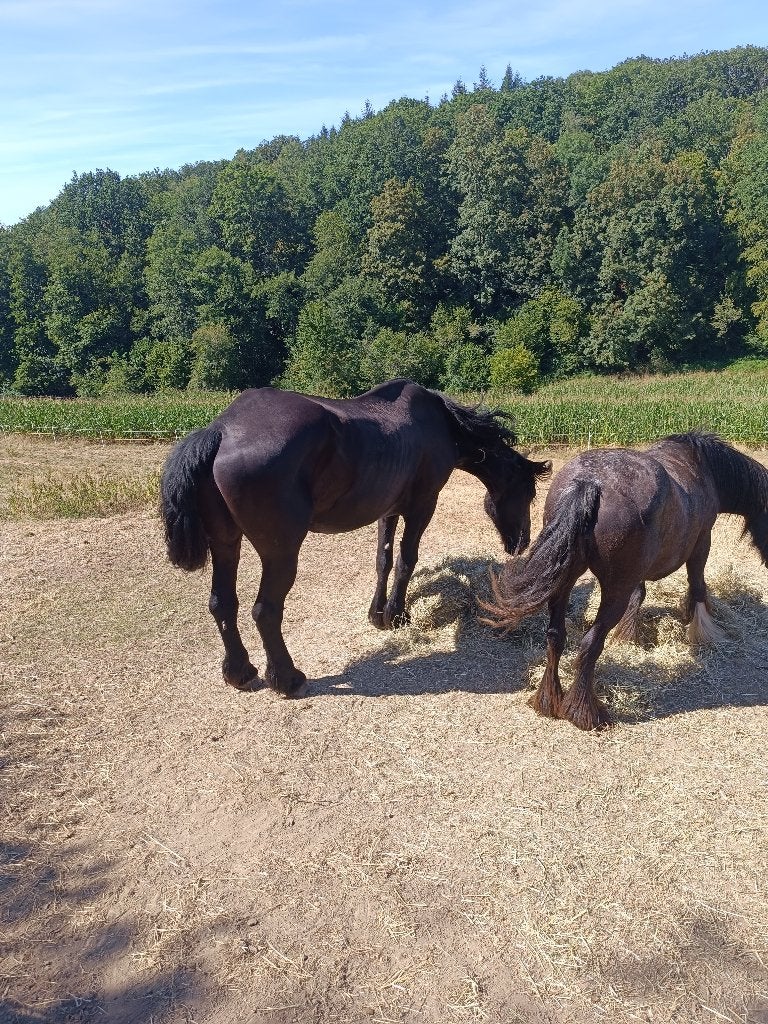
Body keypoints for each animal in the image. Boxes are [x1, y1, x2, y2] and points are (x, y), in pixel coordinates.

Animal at [160, 378, 551, 697]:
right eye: (527, 493)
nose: (521, 542)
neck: (440, 423)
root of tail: (222, 430)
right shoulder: (422, 506)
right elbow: (406, 560)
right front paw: (396, 615)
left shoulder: (389, 510)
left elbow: (384, 559)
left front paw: (377, 614)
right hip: (280, 554)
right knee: (265, 611)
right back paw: (288, 679)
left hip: (226, 545)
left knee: (222, 603)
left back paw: (239, 672)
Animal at [480, 432, 768, 731]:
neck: (703, 467)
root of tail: (589, 483)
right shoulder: (702, 542)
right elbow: (698, 586)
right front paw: (704, 630)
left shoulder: (637, 572)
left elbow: (639, 594)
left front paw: (630, 633)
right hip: (613, 590)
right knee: (590, 643)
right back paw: (584, 712)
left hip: (565, 580)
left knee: (555, 636)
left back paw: (548, 700)